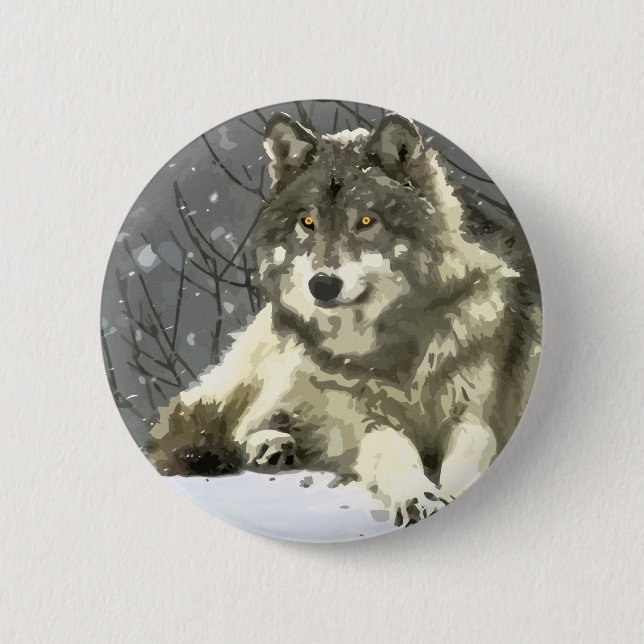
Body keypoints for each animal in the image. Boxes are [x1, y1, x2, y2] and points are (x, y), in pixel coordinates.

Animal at [145, 112, 542, 526]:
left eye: (365, 220)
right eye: (307, 222)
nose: (322, 284)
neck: (392, 349)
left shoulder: (476, 417)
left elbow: (467, 462)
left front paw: (447, 495)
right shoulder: (359, 420)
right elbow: (392, 448)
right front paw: (415, 495)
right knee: (242, 423)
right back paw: (271, 445)